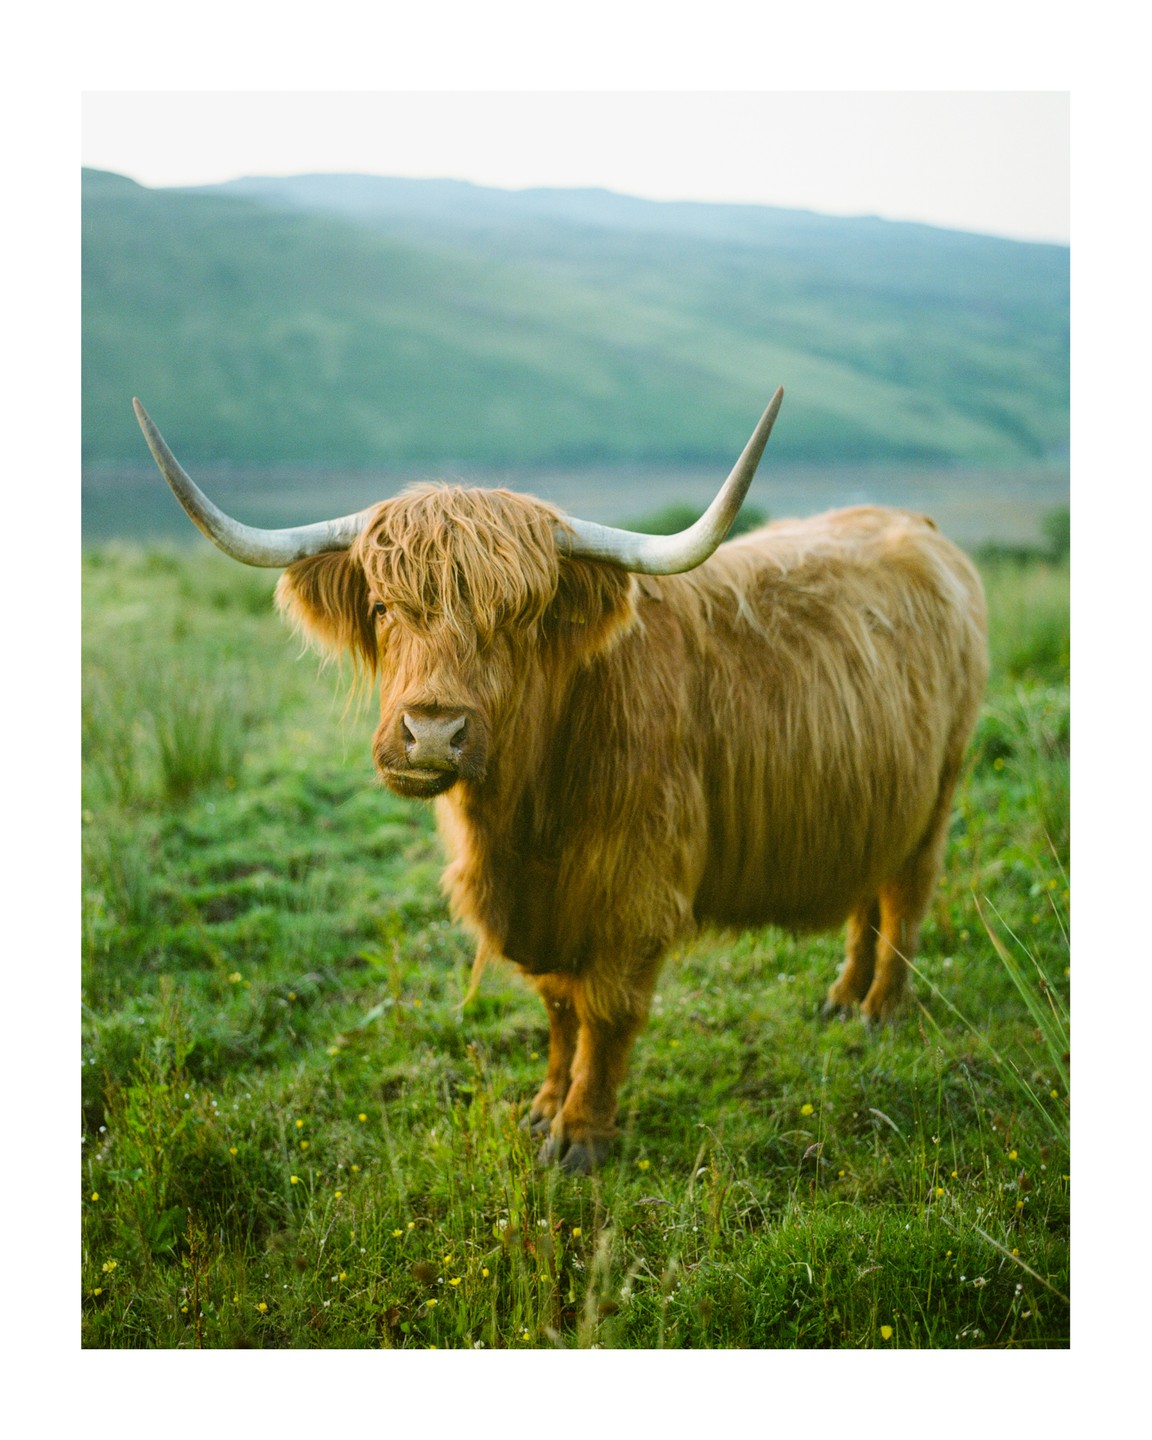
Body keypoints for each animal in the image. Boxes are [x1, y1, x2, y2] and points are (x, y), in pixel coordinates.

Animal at [133, 389, 988, 1173]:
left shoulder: (636, 892)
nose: (432, 732)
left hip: (938, 792)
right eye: (380, 606)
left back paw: (879, 1011)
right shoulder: (538, 911)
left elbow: (605, 1011)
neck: (525, 822)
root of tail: (920, 528)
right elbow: (558, 1007)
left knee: (906, 895)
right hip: (877, 798)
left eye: (518, 619)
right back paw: (842, 1001)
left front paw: (581, 1135)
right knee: (869, 895)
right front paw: (543, 1107)